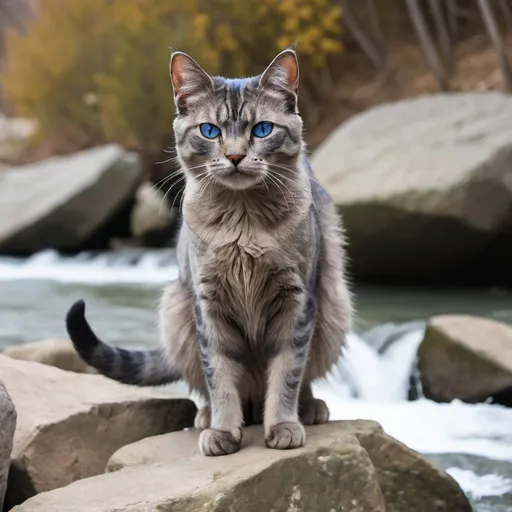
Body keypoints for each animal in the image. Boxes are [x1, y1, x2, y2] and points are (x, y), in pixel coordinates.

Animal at [66, 48, 354, 456]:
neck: (243, 222)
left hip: (335, 306)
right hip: (176, 310)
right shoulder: (209, 302)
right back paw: (206, 416)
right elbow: (219, 375)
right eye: (210, 131)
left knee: (304, 377)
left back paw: (310, 408)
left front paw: (283, 424)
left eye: (261, 130)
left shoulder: (297, 301)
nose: (234, 156)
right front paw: (222, 430)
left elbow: (288, 370)